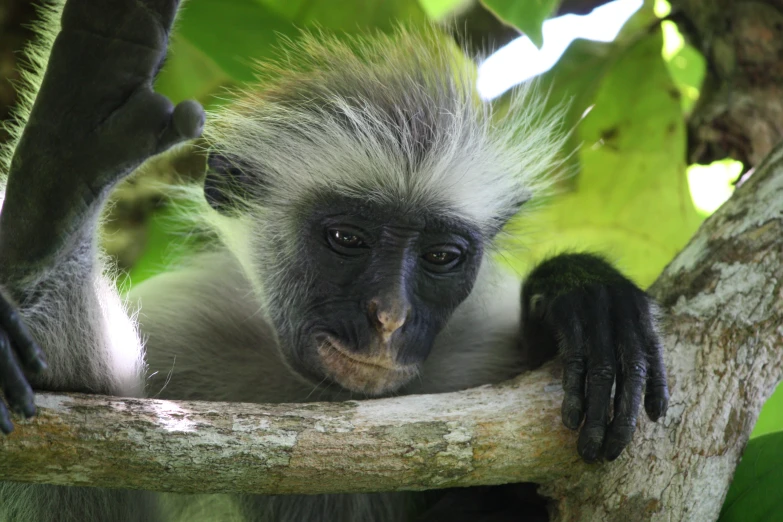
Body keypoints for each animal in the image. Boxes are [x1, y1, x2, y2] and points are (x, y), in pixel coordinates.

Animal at [0, 1, 672, 520]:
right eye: (347, 239)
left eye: (440, 256)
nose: (389, 317)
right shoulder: (186, 327)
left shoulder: (476, 335)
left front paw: (579, 294)